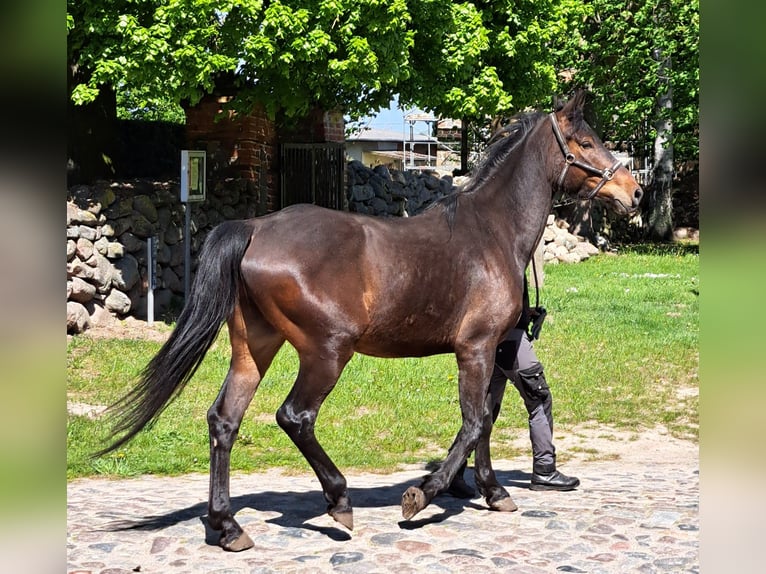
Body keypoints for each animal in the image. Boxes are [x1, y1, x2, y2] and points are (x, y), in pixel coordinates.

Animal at [100, 94, 640, 552]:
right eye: (585, 142)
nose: (633, 192)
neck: (492, 234)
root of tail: (253, 228)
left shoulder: (495, 350)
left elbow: (485, 421)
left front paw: (492, 492)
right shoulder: (476, 348)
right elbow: (473, 423)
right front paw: (421, 496)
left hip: (256, 348)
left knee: (224, 420)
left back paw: (228, 526)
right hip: (327, 352)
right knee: (294, 417)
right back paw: (338, 502)